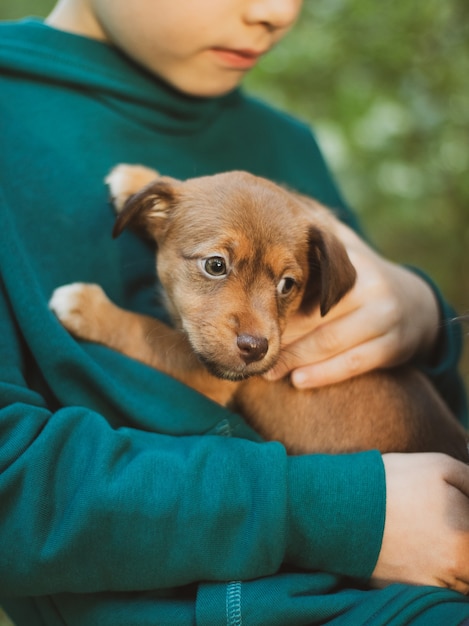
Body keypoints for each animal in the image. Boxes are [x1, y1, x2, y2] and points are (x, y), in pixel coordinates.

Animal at [49, 165, 466, 458]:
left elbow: (144, 331)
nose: (255, 348)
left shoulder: (208, 377)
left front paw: (87, 306)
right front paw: (137, 178)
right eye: (215, 265)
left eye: (287, 285)